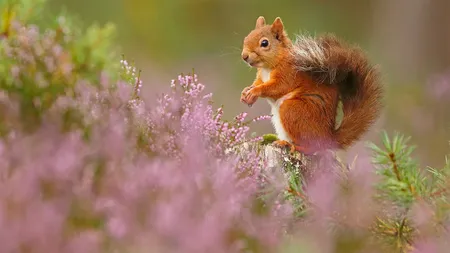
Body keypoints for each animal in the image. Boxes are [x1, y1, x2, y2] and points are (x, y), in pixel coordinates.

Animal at [241, 16, 382, 154]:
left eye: (264, 43)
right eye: (246, 38)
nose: (244, 56)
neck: (267, 67)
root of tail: (328, 138)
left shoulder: (288, 74)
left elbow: (277, 87)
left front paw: (255, 92)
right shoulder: (261, 76)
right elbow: (257, 83)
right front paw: (246, 92)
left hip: (293, 110)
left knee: (312, 148)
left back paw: (291, 145)